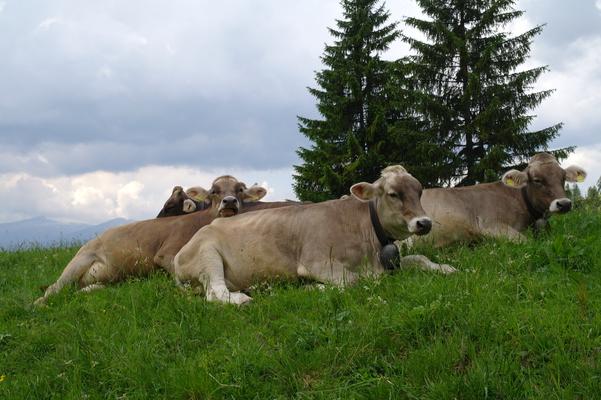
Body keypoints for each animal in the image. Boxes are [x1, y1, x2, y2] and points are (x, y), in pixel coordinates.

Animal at [173, 164, 454, 304]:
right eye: (393, 194)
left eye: (419, 191)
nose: (424, 223)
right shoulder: (316, 262)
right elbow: (352, 282)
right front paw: (311, 288)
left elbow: (419, 258)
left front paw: (445, 268)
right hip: (207, 255)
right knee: (215, 292)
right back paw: (243, 299)